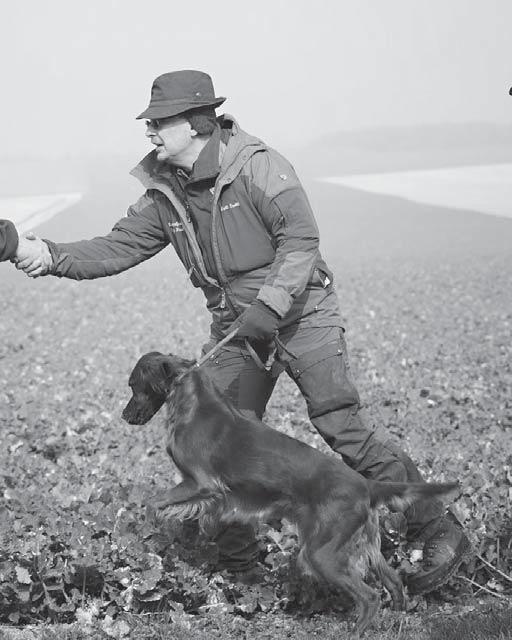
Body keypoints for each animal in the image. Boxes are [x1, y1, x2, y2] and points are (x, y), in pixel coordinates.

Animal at [123, 352, 456, 636]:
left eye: (133, 385)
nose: (125, 416)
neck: (195, 403)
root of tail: (366, 485)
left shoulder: (200, 484)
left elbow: (152, 503)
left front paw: (150, 531)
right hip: (365, 546)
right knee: (395, 582)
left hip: (321, 553)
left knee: (370, 596)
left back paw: (356, 632)